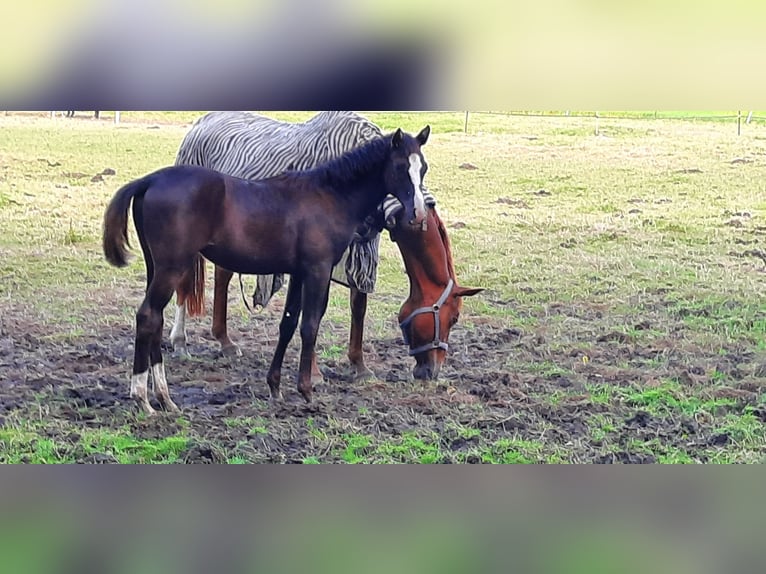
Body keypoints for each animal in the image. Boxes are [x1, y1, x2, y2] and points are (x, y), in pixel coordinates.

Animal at [100, 127, 432, 414]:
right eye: (400, 167)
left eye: (423, 168)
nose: (418, 214)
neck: (328, 196)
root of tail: (151, 180)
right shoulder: (318, 270)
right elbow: (310, 325)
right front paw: (306, 389)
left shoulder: (298, 273)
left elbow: (288, 324)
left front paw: (275, 386)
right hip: (172, 268)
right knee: (148, 317)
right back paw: (142, 398)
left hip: (156, 268)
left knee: (155, 320)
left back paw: (164, 398)